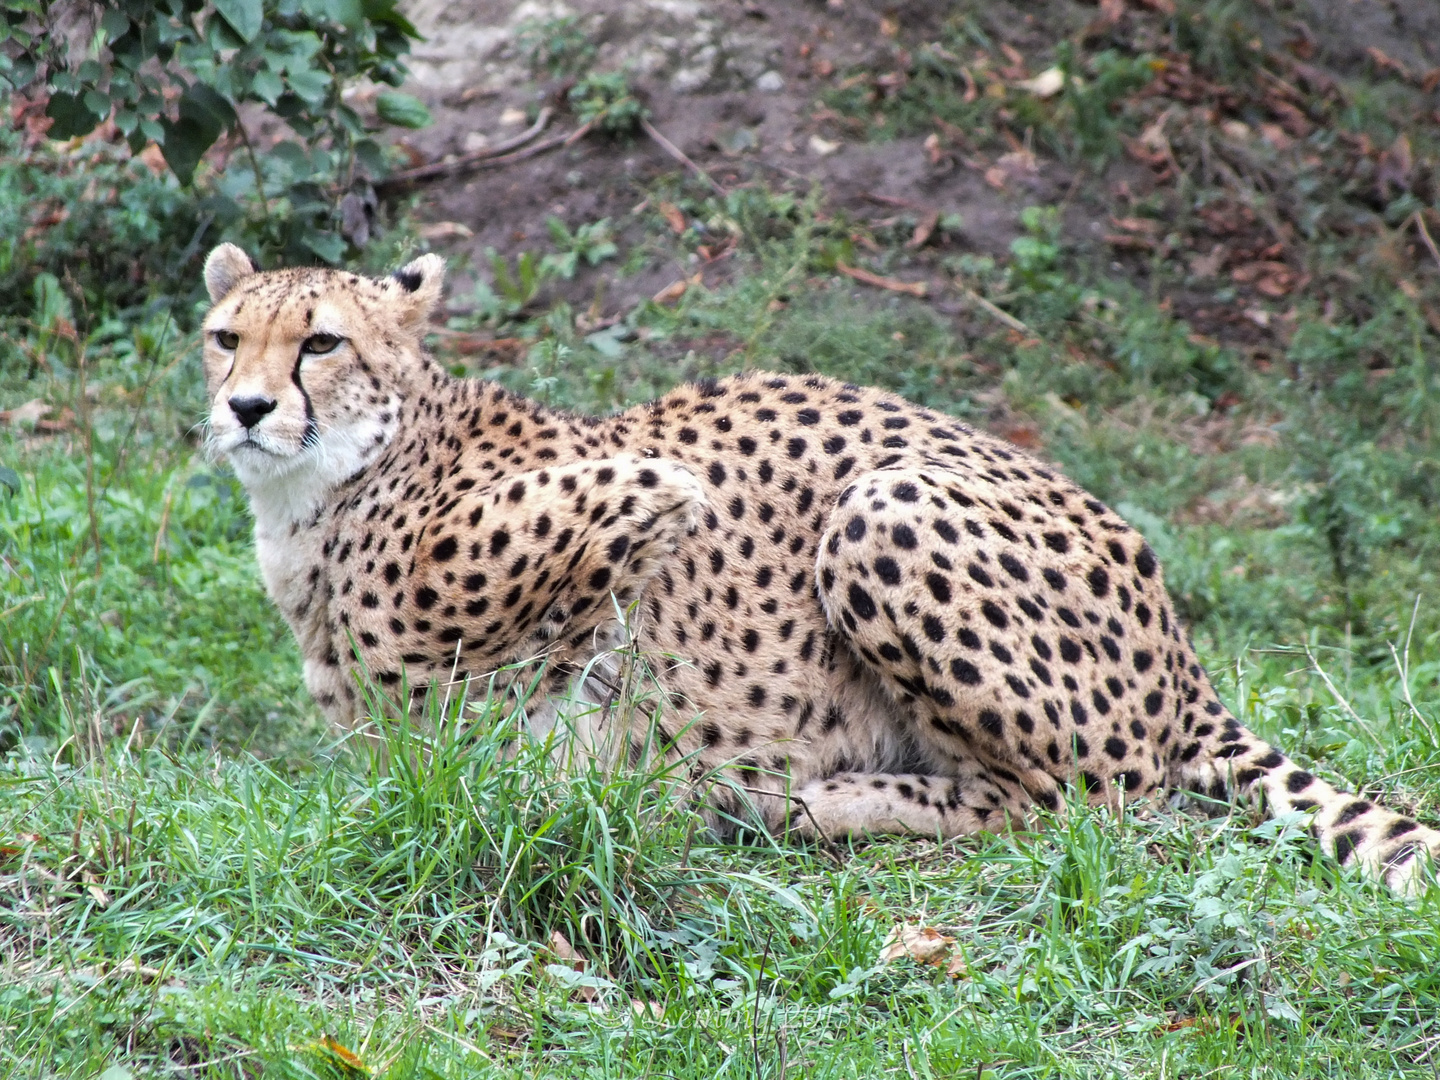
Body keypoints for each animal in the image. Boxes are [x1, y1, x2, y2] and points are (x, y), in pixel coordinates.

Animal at [203, 244, 1440, 898]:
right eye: (225, 338)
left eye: (321, 342)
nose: (246, 407)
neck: (327, 492)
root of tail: (1179, 649)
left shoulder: (647, 489)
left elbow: (565, 666)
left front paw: (597, 770)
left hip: (884, 507)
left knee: (1096, 807)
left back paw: (806, 801)